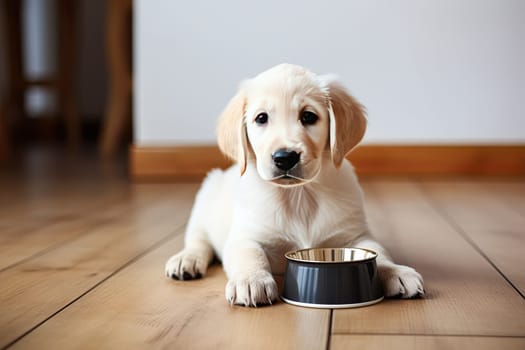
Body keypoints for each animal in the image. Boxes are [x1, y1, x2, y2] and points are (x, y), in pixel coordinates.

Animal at [166, 63, 424, 306]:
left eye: (308, 116)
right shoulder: (245, 234)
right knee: (198, 240)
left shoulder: (355, 234)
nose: (285, 157)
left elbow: (379, 251)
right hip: (206, 194)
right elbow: (249, 253)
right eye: (261, 118)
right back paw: (186, 259)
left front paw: (397, 272)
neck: (299, 195)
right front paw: (251, 280)